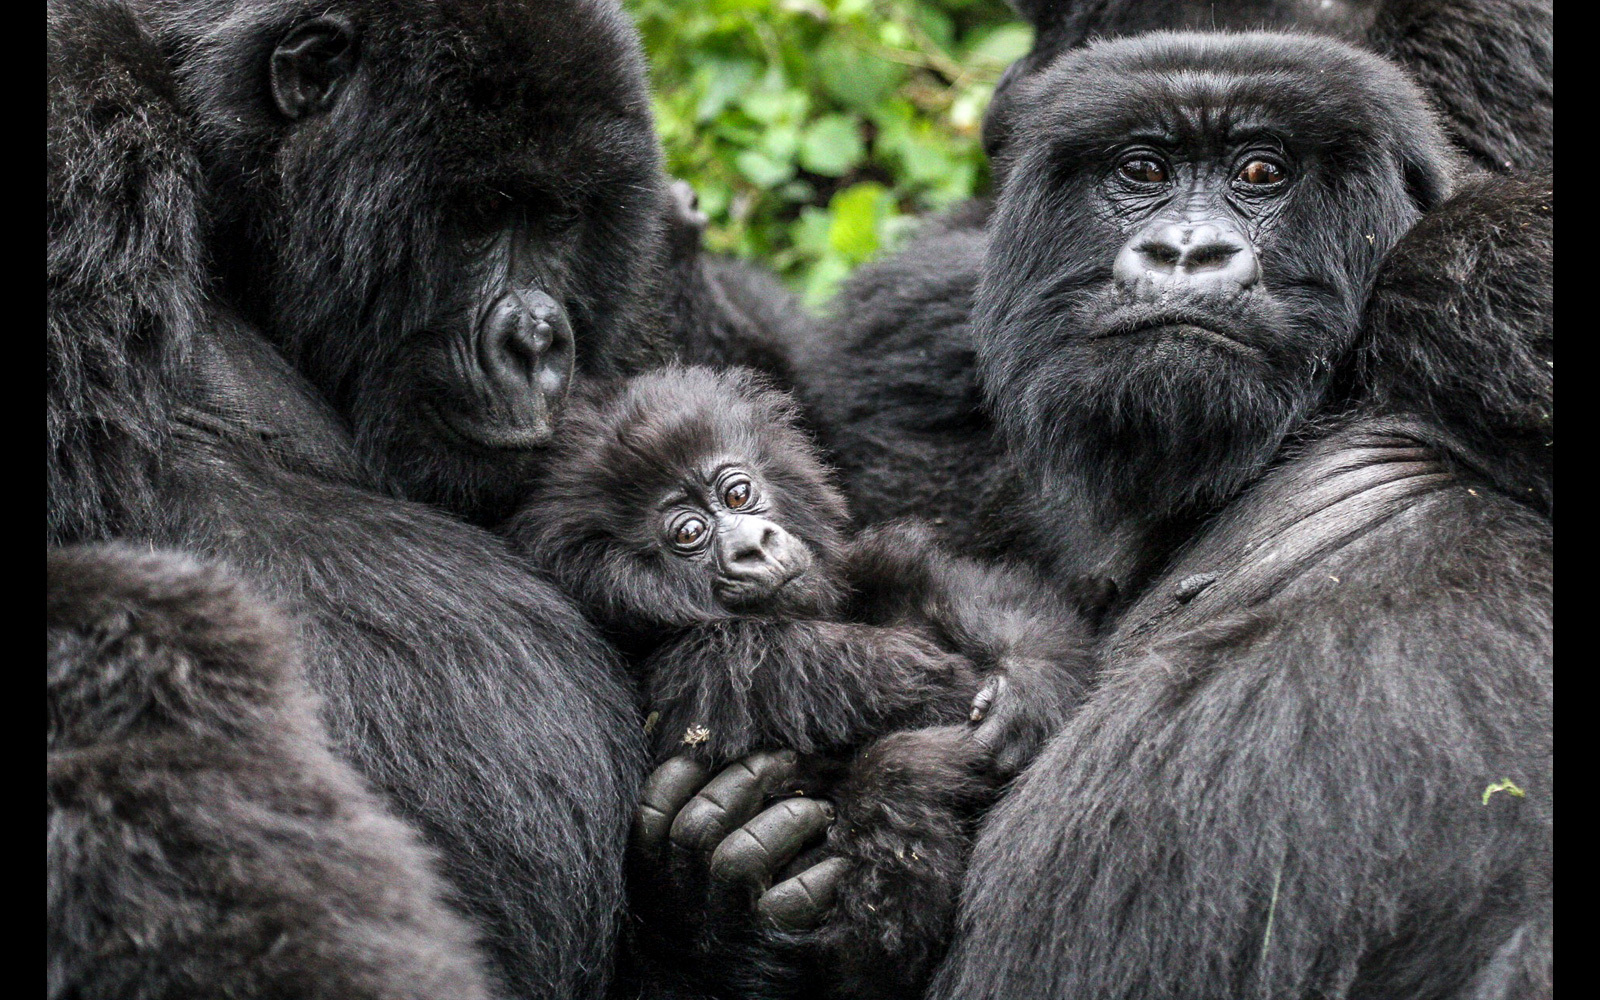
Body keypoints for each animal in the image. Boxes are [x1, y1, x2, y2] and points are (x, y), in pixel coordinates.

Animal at [505, 364, 1094, 992]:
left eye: (738, 494)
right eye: (688, 533)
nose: (753, 546)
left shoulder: (865, 562)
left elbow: (969, 593)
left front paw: (1028, 684)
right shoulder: (714, 661)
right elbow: (923, 694)